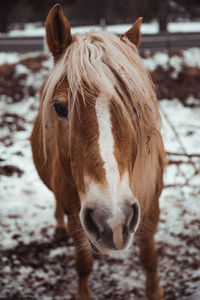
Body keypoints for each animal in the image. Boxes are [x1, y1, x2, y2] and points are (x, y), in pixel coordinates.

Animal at [30, 2, 166, 300]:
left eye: (134, 106)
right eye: (59, 107)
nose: (112, 219)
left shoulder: (151, 205)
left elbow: (150, 259)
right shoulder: (75, 215)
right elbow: (83, 264)